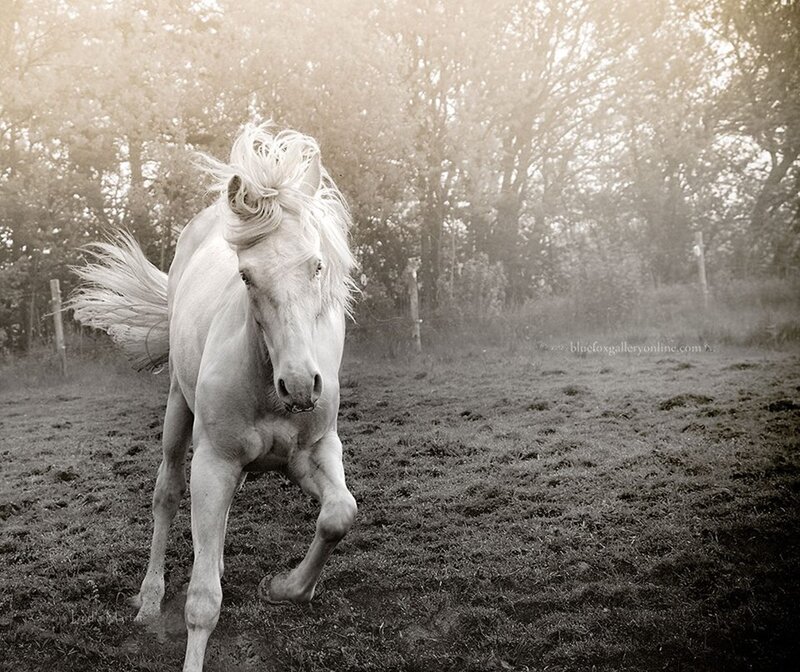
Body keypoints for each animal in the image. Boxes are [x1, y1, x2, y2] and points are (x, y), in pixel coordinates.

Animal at [71, 123, 358, 671]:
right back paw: (149, 600)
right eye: (246, 275)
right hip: (178, 412)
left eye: (316, 266)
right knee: (166, 495)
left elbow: (339, 515)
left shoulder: (315, 452)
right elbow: (203, 601)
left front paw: (285, 588)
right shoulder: (215, 461)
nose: (299, 385)